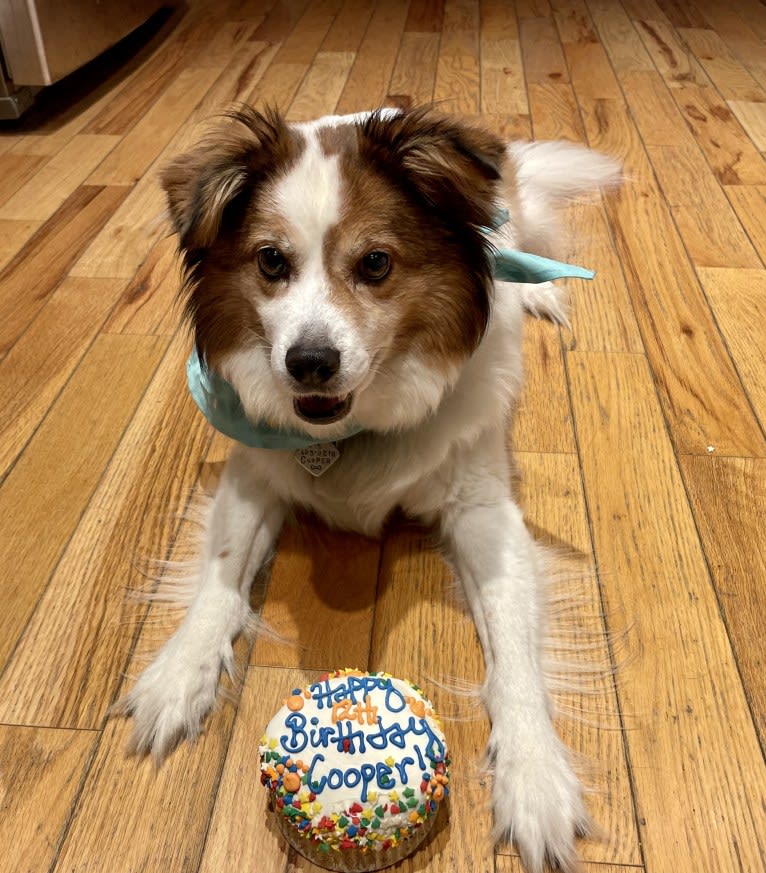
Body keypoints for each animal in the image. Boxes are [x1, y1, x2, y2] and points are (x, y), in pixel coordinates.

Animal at [120, 105, 624, 868]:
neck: (353, 426)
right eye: (271, 261)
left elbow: (513, 650)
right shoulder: (253, 474)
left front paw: (534, 774)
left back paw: (534, 287)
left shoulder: (483, 511)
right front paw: (180, 673)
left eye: (376, 263)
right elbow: (221, 577)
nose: (309, 363)